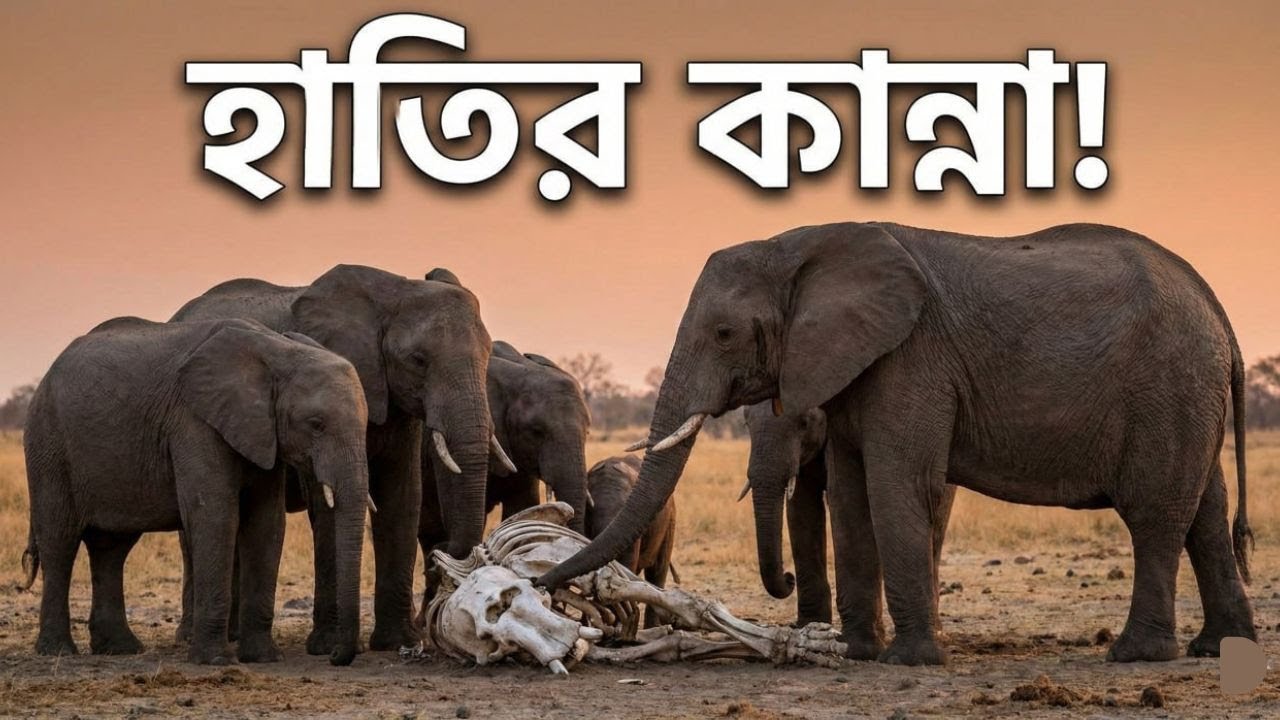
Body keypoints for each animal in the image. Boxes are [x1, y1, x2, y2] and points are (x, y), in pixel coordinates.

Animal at [21, 318, 370, 665]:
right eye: (316, 424)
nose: (335, 657)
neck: (279, 350)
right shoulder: (193, 421)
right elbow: (216, 516)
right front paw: (214, 661)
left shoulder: (261, 433)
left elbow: (266, 524)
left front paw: (262, 658)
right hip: (48, 447)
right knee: (60, 541)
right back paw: (58, 650)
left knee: (111, 548)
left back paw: (120, 649)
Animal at [171, 264, 497, 656]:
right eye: (418, 360)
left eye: (489, 353)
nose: (444, 559)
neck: (393, 291)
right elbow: (328, 505)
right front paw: (327, 646)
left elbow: (402, 498)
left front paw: (397, 643)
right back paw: (191, 637)